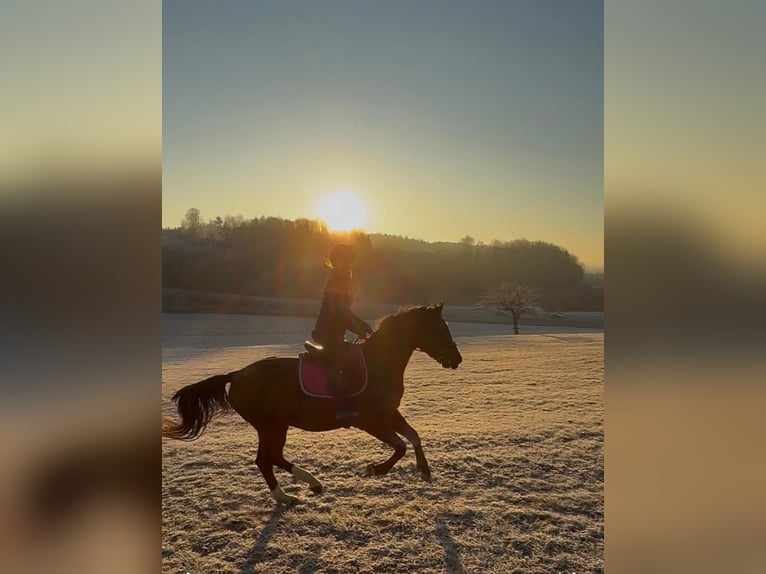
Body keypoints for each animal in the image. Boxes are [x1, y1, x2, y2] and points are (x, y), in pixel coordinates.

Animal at [161, 304, 462, 506]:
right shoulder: (369, 420)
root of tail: (236, 375)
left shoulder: (389, 412)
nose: (456, 359)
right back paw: (288, 494)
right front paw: (374, 470)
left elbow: (414, 436)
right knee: (266, 459)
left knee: (270, 458)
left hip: (274, 426)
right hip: (272, 425)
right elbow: (400, 446)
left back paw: (309, 485)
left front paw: (425, 471)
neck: (380, 362)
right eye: (439, 328)